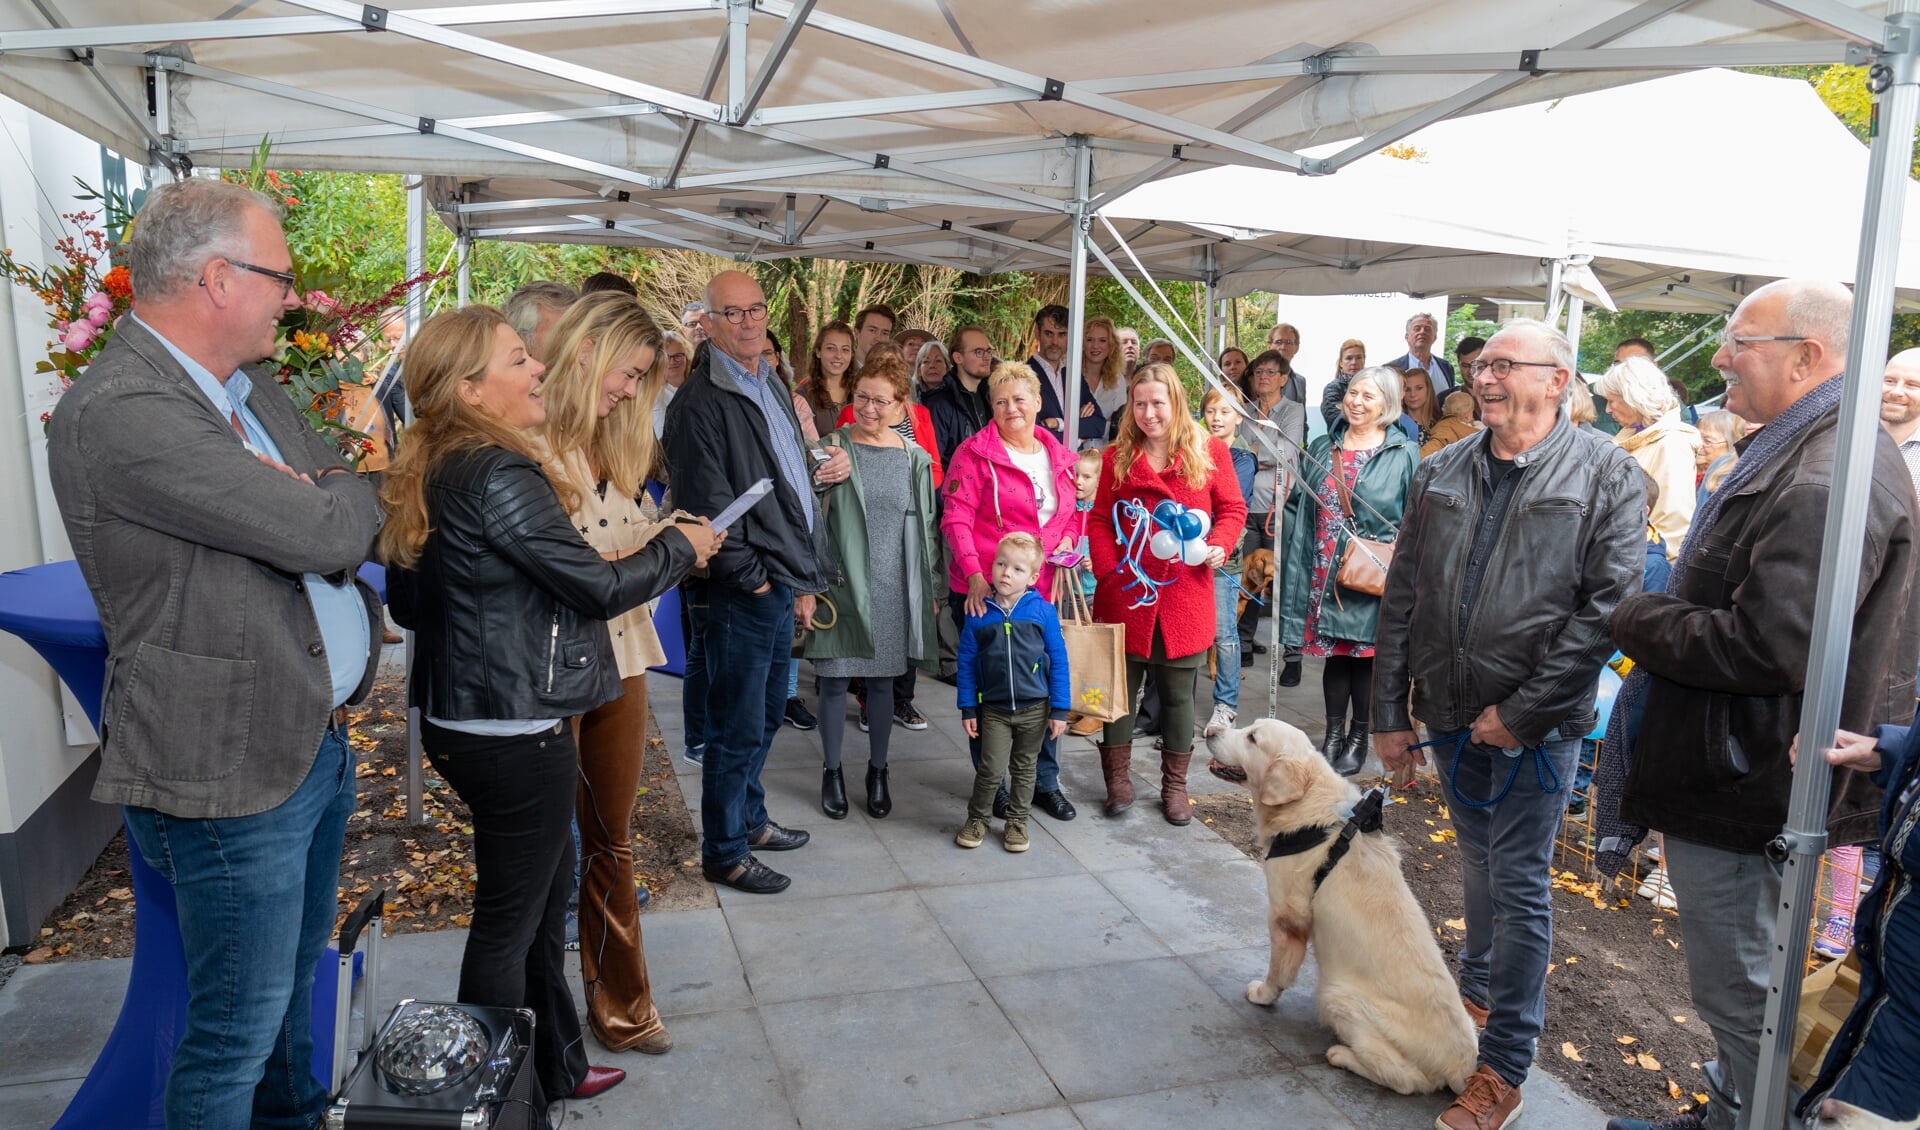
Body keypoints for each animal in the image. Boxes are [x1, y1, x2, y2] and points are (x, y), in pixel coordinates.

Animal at [1205, 713, 1474, 1089]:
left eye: (1253, 738)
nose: (1209, 730)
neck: (1308, 805)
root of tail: (1462, 1064)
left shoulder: (1286, 916)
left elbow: (1279, 969)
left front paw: (1264, 994)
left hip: (1336, 994)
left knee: (1406, 1079)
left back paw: (1342, 1055)